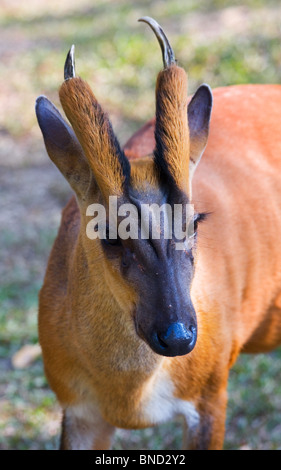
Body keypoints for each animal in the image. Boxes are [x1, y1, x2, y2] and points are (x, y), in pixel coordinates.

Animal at [35, 16, 281, 450]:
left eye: (194, 221)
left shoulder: (211, 392)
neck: (129, 399)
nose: (178, 336)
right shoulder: (76, 407)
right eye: (109, 232)